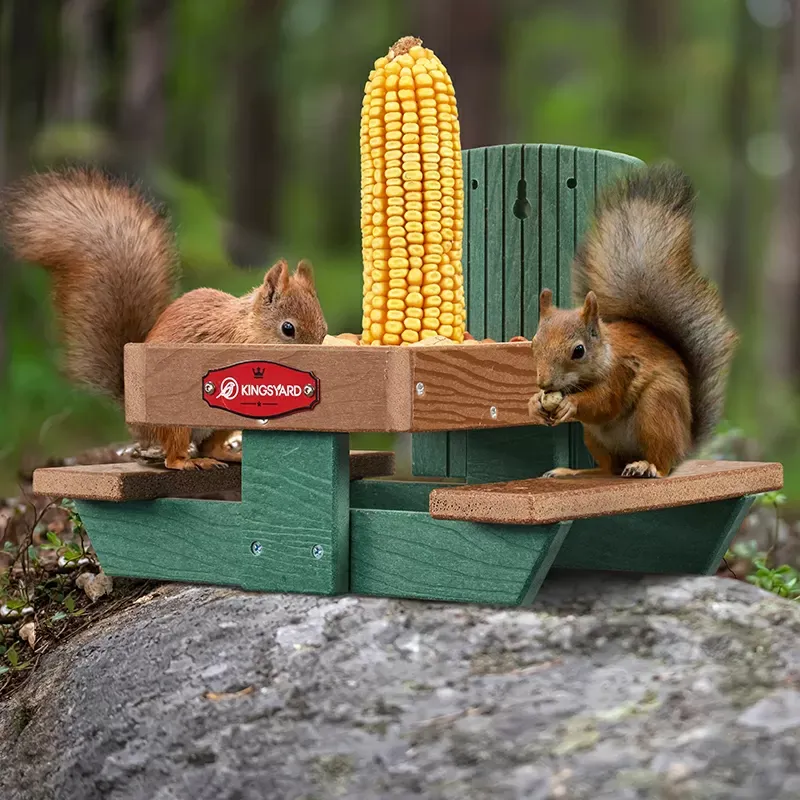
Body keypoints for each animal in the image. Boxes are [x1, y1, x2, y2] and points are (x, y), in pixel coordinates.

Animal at [1, 167, 328, 470]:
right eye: (288, 329)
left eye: (324, 330)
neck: (249, 327)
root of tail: (136, 421)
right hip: (174, 418)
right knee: (174, 456)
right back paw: (190, 462)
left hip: (220, 424)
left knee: (210, 445)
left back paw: (228, 455)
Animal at [527, 163, 737, 479]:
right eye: (533, 345)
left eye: (579, 351)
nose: (544, 383)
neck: (605, 354)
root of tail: (685, 445)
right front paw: (533, 404)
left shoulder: (622, 371)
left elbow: (604, 402)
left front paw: (571, 404)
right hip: (595, 438)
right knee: (609, 468)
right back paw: (575, 472)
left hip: (658, 410)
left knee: (661, 462)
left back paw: (646, 465)